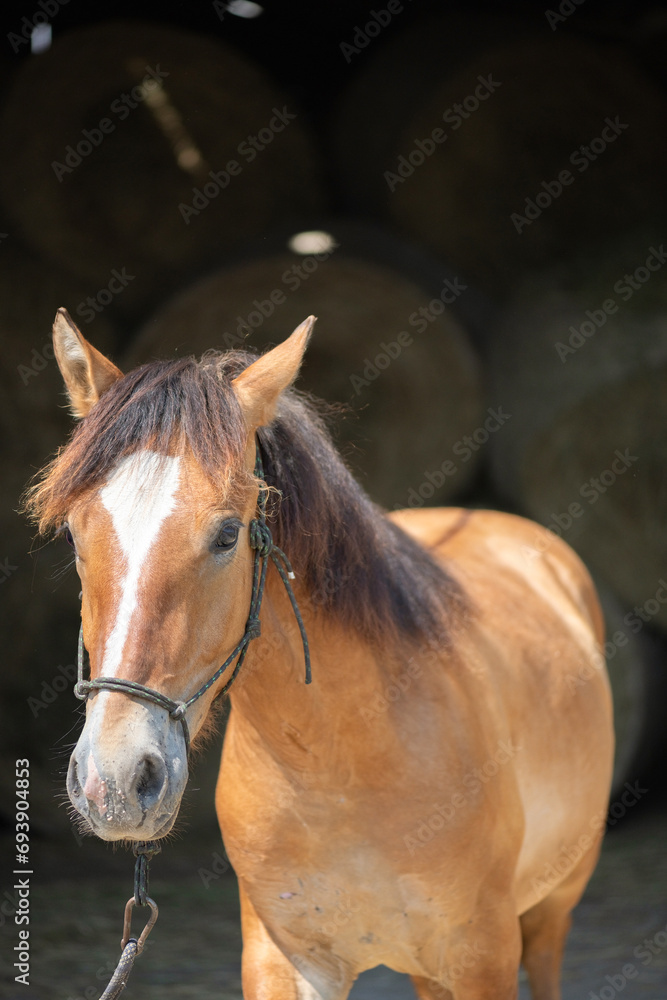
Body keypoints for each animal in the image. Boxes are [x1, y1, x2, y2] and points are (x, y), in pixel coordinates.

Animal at [27, 307, 613, 1000]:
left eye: (227, 535)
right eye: (74, 535)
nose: (114, 782)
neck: (345, 762)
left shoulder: (483, 957)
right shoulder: (283, 961)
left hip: (551, 912)